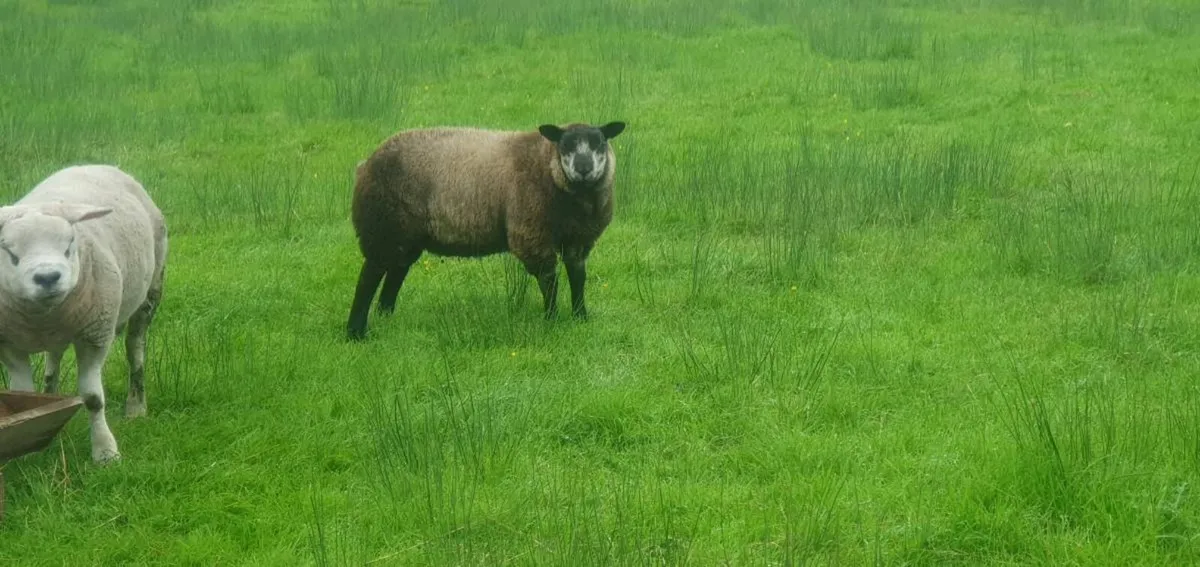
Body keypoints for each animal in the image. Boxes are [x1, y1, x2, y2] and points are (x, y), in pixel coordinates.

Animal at [0, 165, 168, 464]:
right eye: (9, 253)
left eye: (69, 246)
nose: (48, 277)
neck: (43, 315)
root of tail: (96, 165)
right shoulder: (10, 345)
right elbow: (23, 398)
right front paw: (25, 449)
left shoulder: (95, 336)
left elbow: (92, 398)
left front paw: (106, 452)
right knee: (54, 358)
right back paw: (51, 393)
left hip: (151, 290)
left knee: (135, 348)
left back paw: (136, 407)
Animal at [347, 120, 626, 340]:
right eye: (565, 145)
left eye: (600, 143)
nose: (583, 168)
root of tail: (365, 164)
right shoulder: (531, 235)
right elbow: (550, 281)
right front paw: (552, 319)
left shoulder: (579, 239)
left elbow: (578, 277)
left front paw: (580, 316)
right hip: (382, 226)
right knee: (369, 277)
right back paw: (356, 332)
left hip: (405, 236)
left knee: (395, 273)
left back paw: (386, 316)